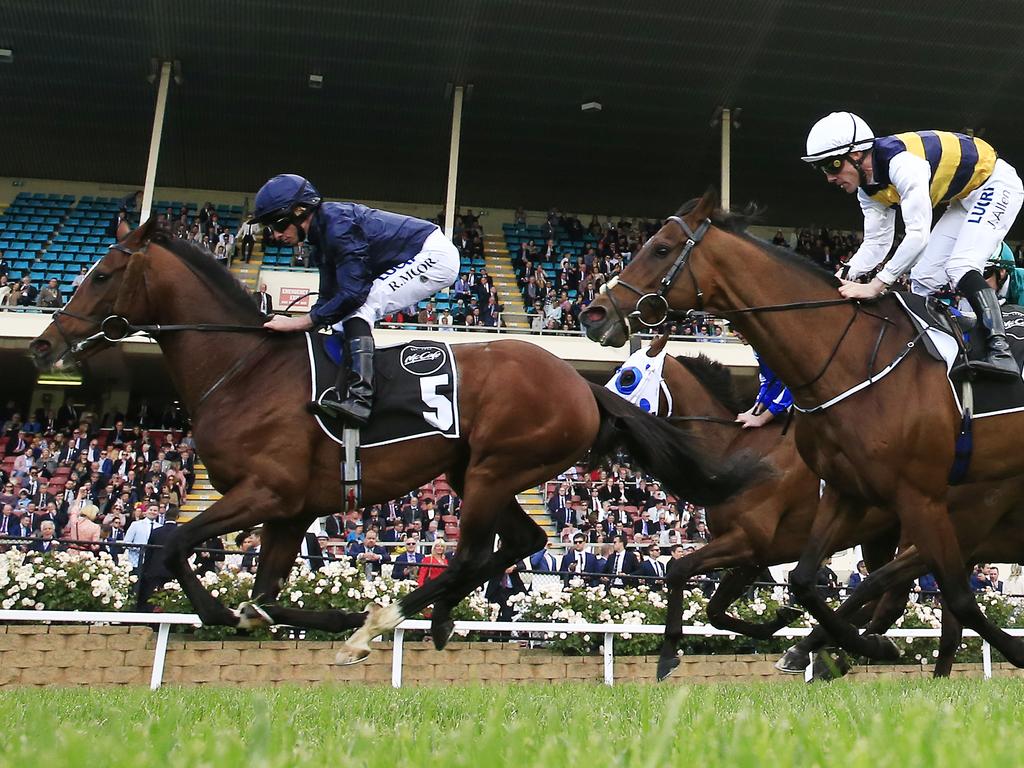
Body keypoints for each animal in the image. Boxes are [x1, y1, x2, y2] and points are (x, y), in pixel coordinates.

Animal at [29, 219, 761, 663]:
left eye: (101, 275)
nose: (43, 343)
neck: (244, 369)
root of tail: (582, 385)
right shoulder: (290, 511)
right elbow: (261, 591)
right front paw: (277, 615)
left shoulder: (265, 492)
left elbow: (174, 542)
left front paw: (214, 609)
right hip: (476, 471)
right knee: (521, 541)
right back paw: (430, 619)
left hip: (496, 467)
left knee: (472, 553)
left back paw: (388, 622)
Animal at [581, 189, 1024, 671]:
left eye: (660, 249)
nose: (593, 313)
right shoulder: (814, 514)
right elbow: (775, 587)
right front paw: (784, 629)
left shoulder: (766, 536)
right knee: (895, 598)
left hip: (952, 521)